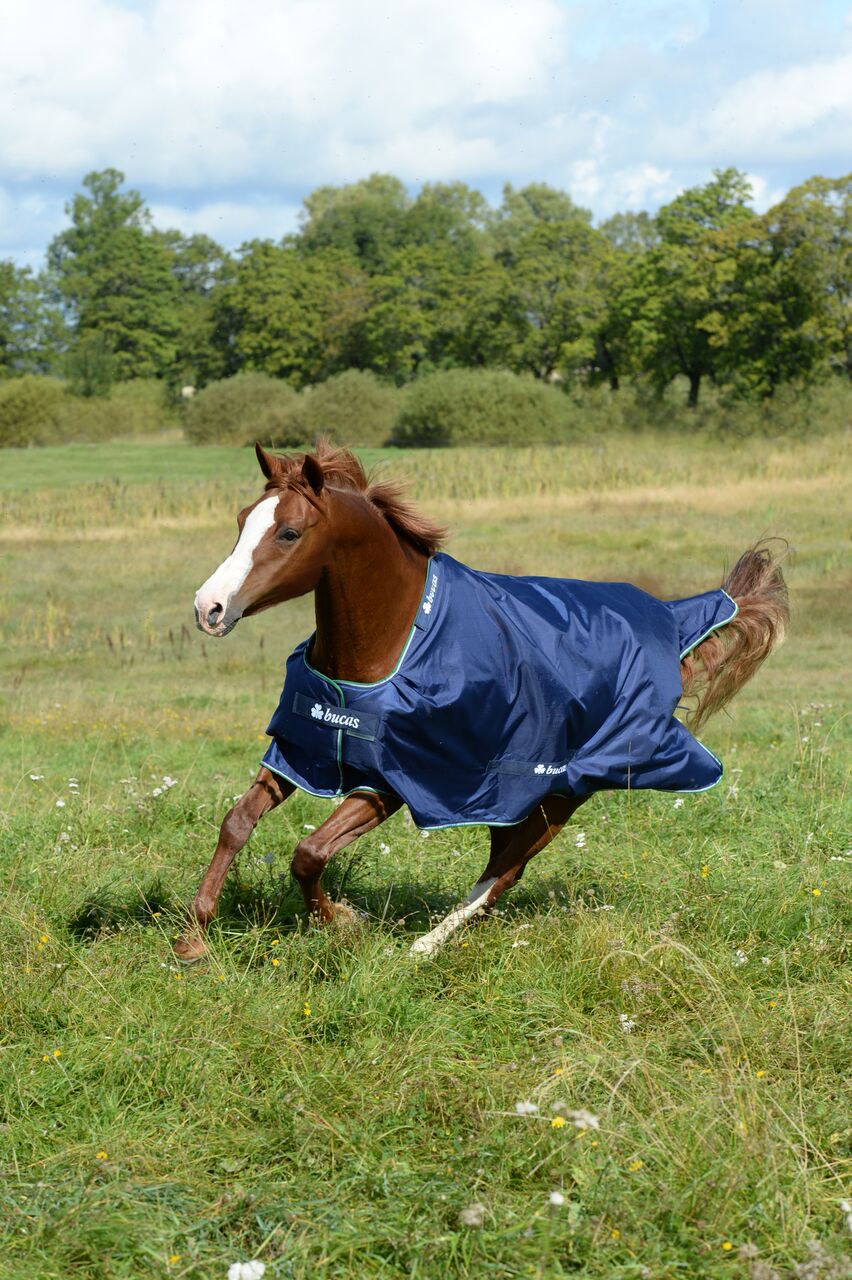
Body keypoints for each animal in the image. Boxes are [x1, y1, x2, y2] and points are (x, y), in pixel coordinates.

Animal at [174, 441, 788, 962]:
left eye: (289, 533)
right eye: (241, 522)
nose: (209, 607)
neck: (389, 643)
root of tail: (669, 626)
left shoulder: (392, 781)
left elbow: (309, 853)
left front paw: (343, 922)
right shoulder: (303, 750)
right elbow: (236, 822)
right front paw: (193, 938)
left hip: (558, 794)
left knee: (506, 870)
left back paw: (423, 947)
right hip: (512, 799)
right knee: (502, 861)